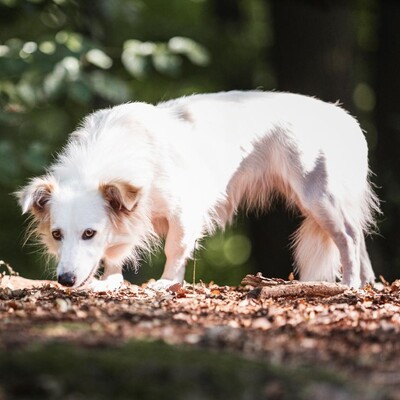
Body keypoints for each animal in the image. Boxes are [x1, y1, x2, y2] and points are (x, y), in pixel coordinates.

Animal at [18, 90, 382, 290]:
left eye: (89, 233)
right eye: (56, 235)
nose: (65, 280)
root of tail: (343, 117)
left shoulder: (184, 212)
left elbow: (174, 250)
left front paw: (167, 283)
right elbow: (115, 254)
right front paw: (110, 280)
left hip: (317, 195)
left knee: (349, 239)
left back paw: (349, 284)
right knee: (360, 240)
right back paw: (369, 285)